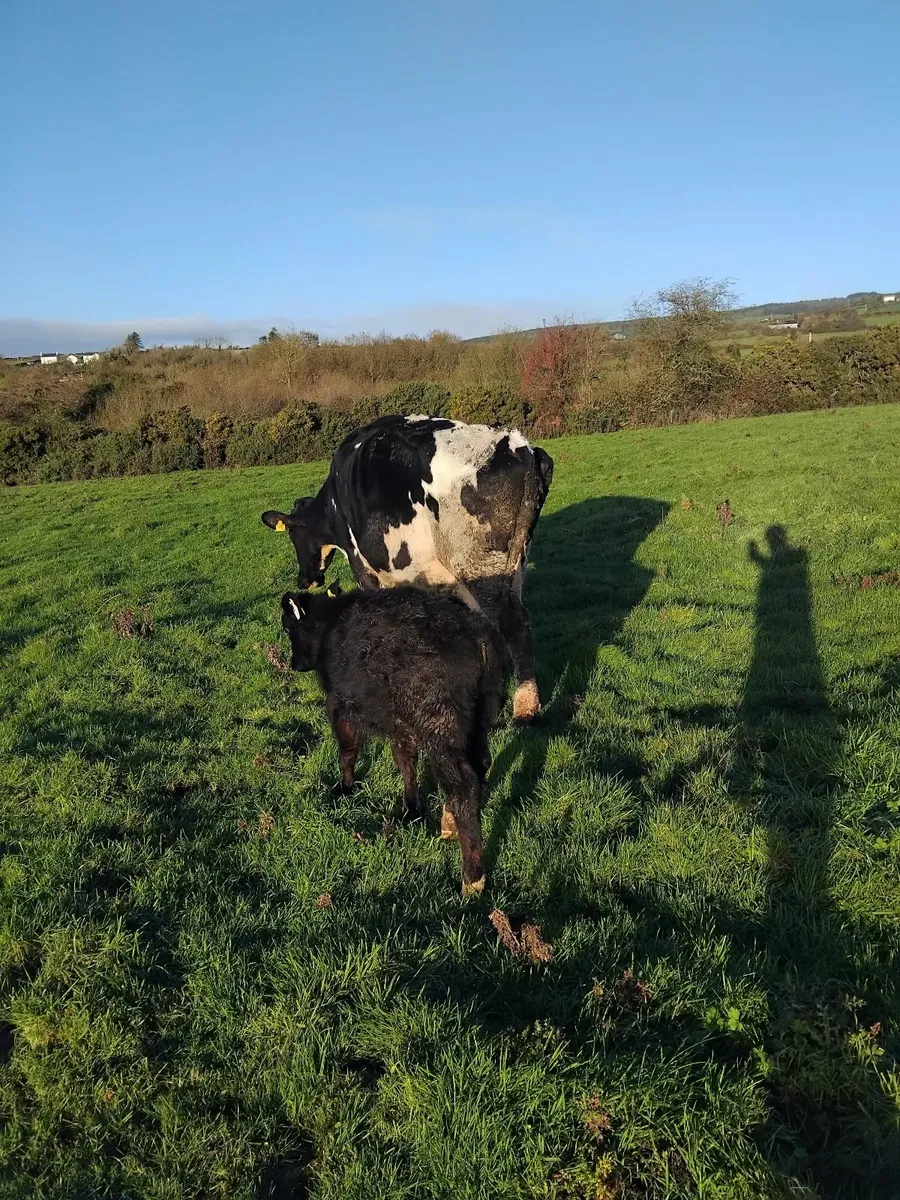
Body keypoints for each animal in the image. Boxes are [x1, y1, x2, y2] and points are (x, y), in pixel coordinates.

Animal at [262, 415, 554, 720]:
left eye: (292, 535)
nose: (304, 579)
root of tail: (516, 443)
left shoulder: (367, 571)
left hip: (479, 567)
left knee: (512, 622)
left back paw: (525, 708)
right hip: (513, 565)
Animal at [280, 583, 506, 894]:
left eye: (288, 627)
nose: (294, 664)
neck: (330, 624)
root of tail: (473, 630)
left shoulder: (338, 704)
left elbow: (347, 750)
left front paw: (346, 788)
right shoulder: (400, 722)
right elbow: (405, 760)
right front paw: (412, 809)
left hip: (440, 725)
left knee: (463, 785)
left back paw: (472, 878)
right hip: (480, 718)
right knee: (481, 765)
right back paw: (448, 820)